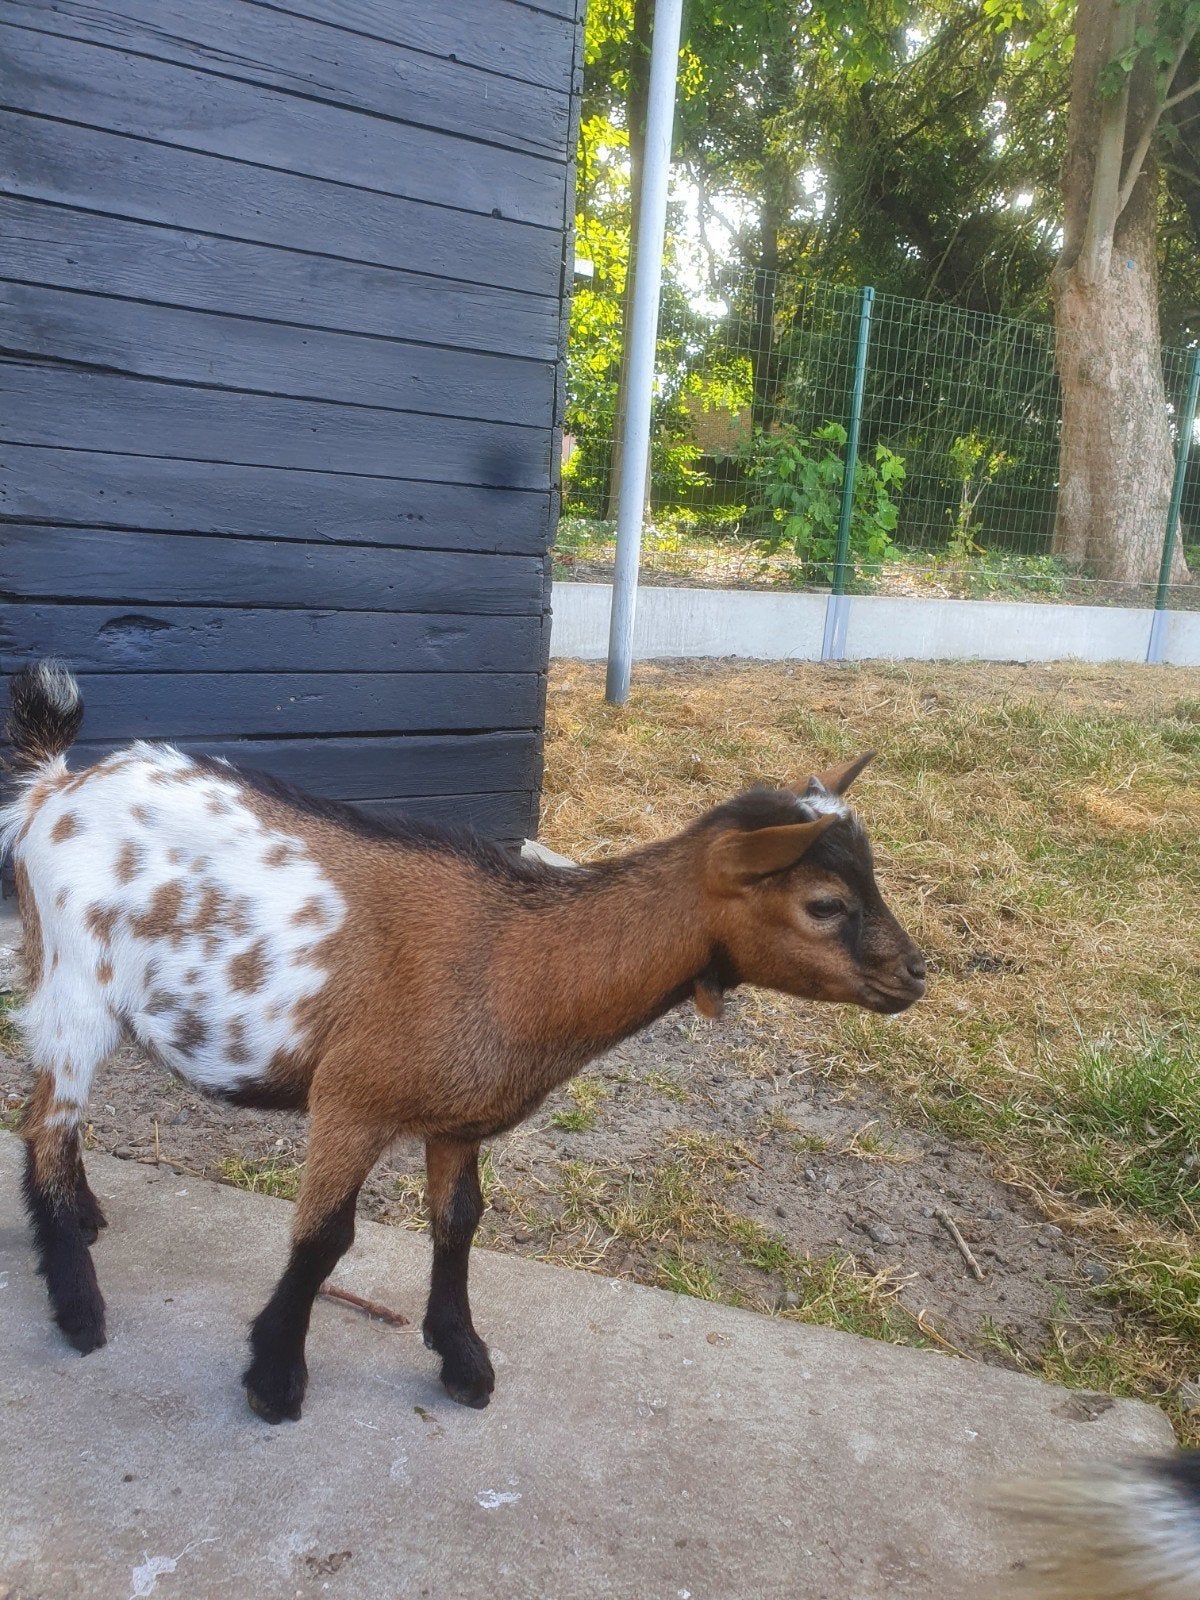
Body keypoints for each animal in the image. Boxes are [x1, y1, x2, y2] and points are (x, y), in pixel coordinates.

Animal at [3, 659, 926, 1422]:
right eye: (825, 904)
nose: (916, 977)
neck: (512, 958)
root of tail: (56, 787)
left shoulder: (455, 1119)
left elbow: (459, 1224)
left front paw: (464, 1362)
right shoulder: (353, 1097)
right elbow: (324, 1238)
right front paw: (274, 1380)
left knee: (57, 1116)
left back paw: (82, 1219)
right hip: (72, 983)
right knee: (44, 1121)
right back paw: (79, 1309)